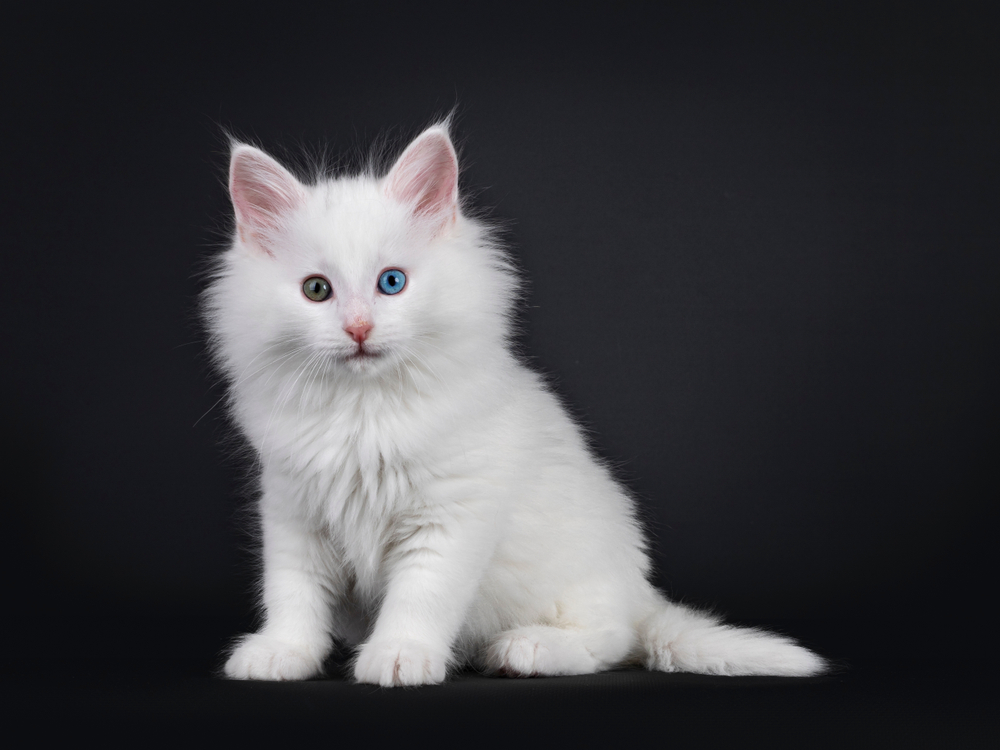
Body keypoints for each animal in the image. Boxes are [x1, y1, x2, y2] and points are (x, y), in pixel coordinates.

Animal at [207, 122, 824, 688]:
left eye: (392, 283)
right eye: (317, 290)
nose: (359, 329)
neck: (363, 410)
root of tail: (642, 594)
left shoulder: (450, 517)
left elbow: (419, 597)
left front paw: (400, 656)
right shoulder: (293, 514)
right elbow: (293, 594)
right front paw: (282, 653)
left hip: (583, 581)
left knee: (610, 642)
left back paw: (523, 649)